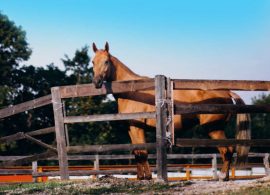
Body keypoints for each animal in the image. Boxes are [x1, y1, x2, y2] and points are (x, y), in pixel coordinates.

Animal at [91, 42, 251, 181]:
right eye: (93, 62)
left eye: (106, 61)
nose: (96, 82)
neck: (132, 91)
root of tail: (227, 92)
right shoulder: (131, 129)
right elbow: (137, 152)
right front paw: (140, 177)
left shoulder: (138, 128)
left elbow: (143, 152)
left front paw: (148, 177)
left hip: (214, 129)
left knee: (227, 150)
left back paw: (223, 176)